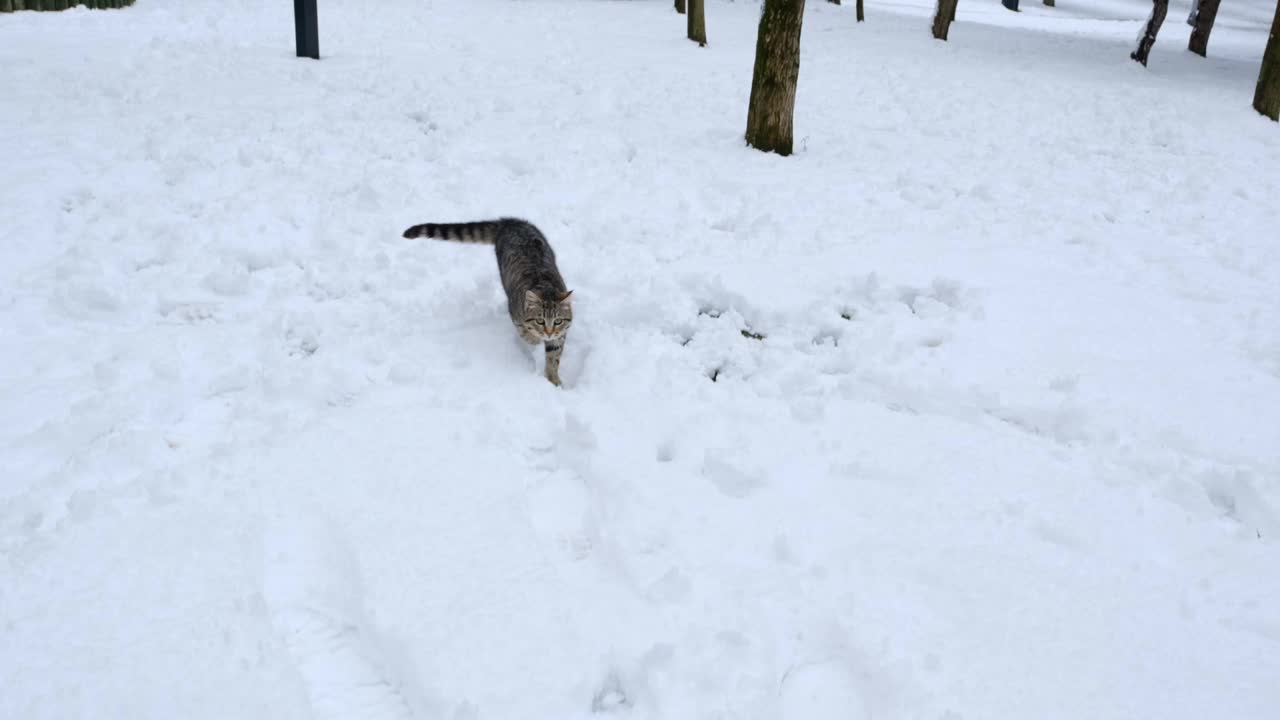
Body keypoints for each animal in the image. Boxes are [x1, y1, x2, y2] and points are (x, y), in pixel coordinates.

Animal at [401, 217, 573, 384]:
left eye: (557, 321)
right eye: (540, 320)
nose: (548, 333)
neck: (546, 286)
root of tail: (509, 222)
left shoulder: (560, 334)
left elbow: (554, 357)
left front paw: (553, 379)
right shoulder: (515, 311)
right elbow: (525, 332)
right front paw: (533, 339)